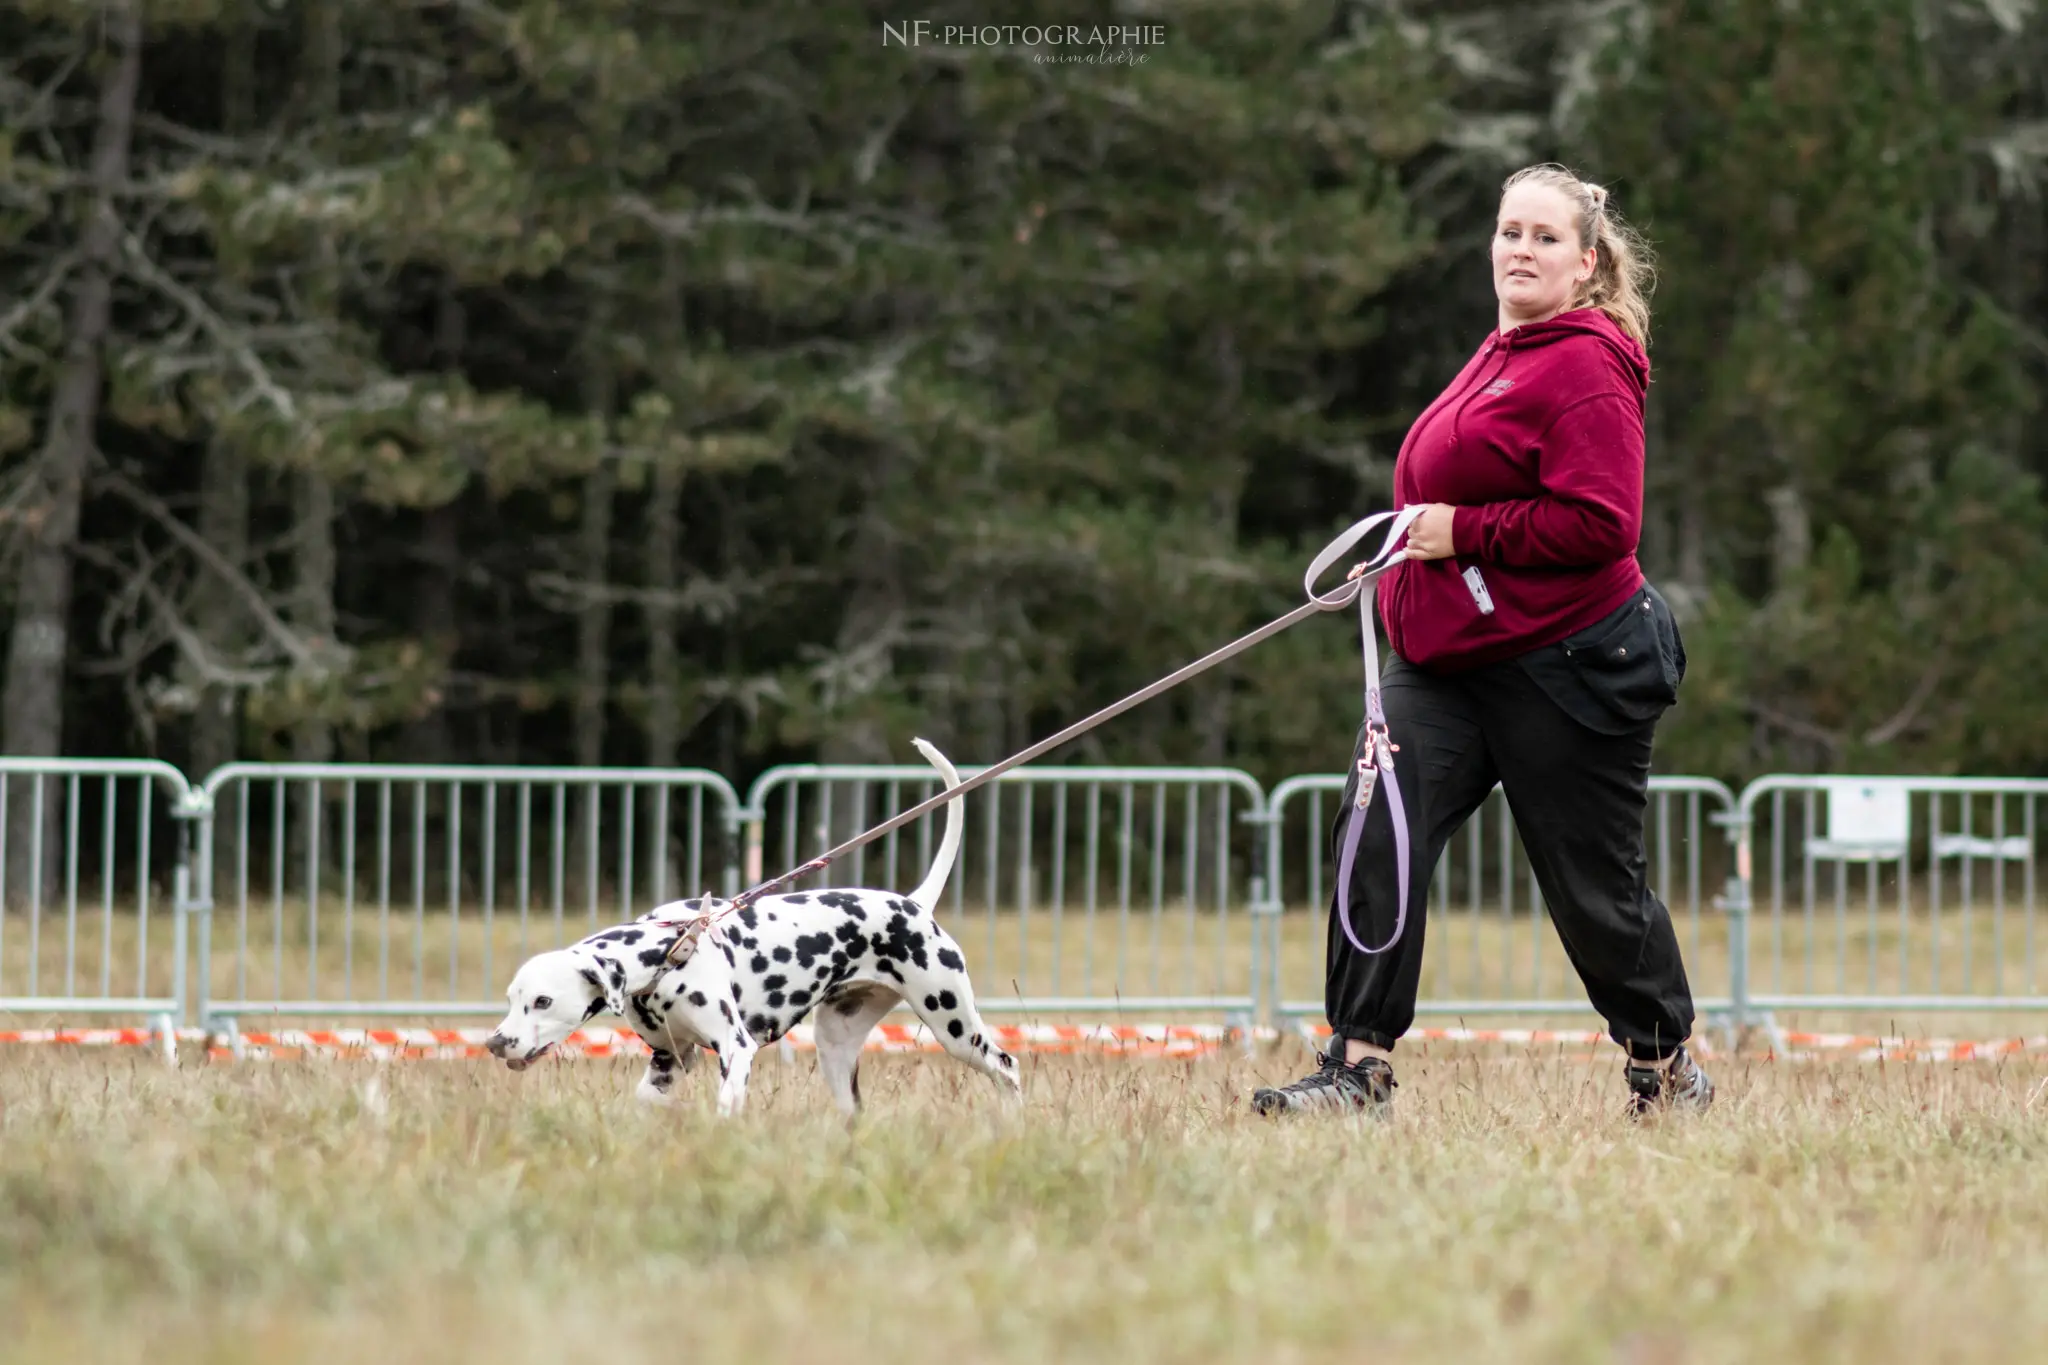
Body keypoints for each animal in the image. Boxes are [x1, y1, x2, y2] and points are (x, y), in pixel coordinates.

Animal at [481, 740, 1024, 1113]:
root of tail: (913, 905)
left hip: (954, 1026)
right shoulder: (669, 1061)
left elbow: (727, 1104)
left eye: (543, 1001)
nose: (495, 1043)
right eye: (511, 999)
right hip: (836, 1047)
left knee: (1007, 1068)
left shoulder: (734, 1049)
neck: (665, 954)